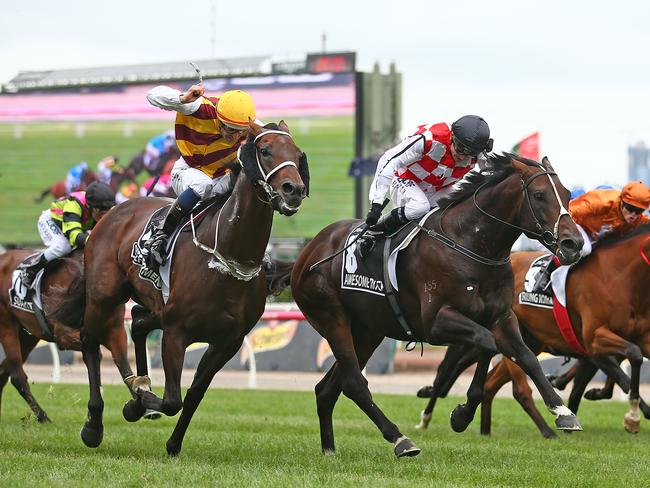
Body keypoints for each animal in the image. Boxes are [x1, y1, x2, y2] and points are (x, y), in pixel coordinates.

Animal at [59, 121, 308, 454]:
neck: (227, 255)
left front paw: (172, 442)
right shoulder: (176, 333)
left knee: (138, 321)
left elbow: (192, 396)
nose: (294, 190)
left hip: (154, 305)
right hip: (103, 296)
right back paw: (94, 425)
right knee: (90, 344)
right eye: (265, 150)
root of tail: (113, 213)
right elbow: (171, 400)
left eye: (297, 153)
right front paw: (137, 403)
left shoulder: (227, 341)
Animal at [292, 154, 584, 456]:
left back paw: (329, 449)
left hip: (367, 332)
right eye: (539, 195)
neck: (470, 244)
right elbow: (486, 342)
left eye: (567, 194)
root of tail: (308, 252)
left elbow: (525, 356)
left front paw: (562, 411)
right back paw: (400, 439)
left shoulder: (501, 317)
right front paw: (462, 415)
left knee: (327, 389)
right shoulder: (437, 322)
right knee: (353, 383)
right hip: (333, 319)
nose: (573, 243)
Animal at [478, 225, 648, 434]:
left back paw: (485, 432)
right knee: (519, 389)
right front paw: (632, 416)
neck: (619, 277)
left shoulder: (638, 338)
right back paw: (549, 431)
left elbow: (623, 365)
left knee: (491, 383)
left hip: (529, 341)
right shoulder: (594, 338)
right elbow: (632, 357)